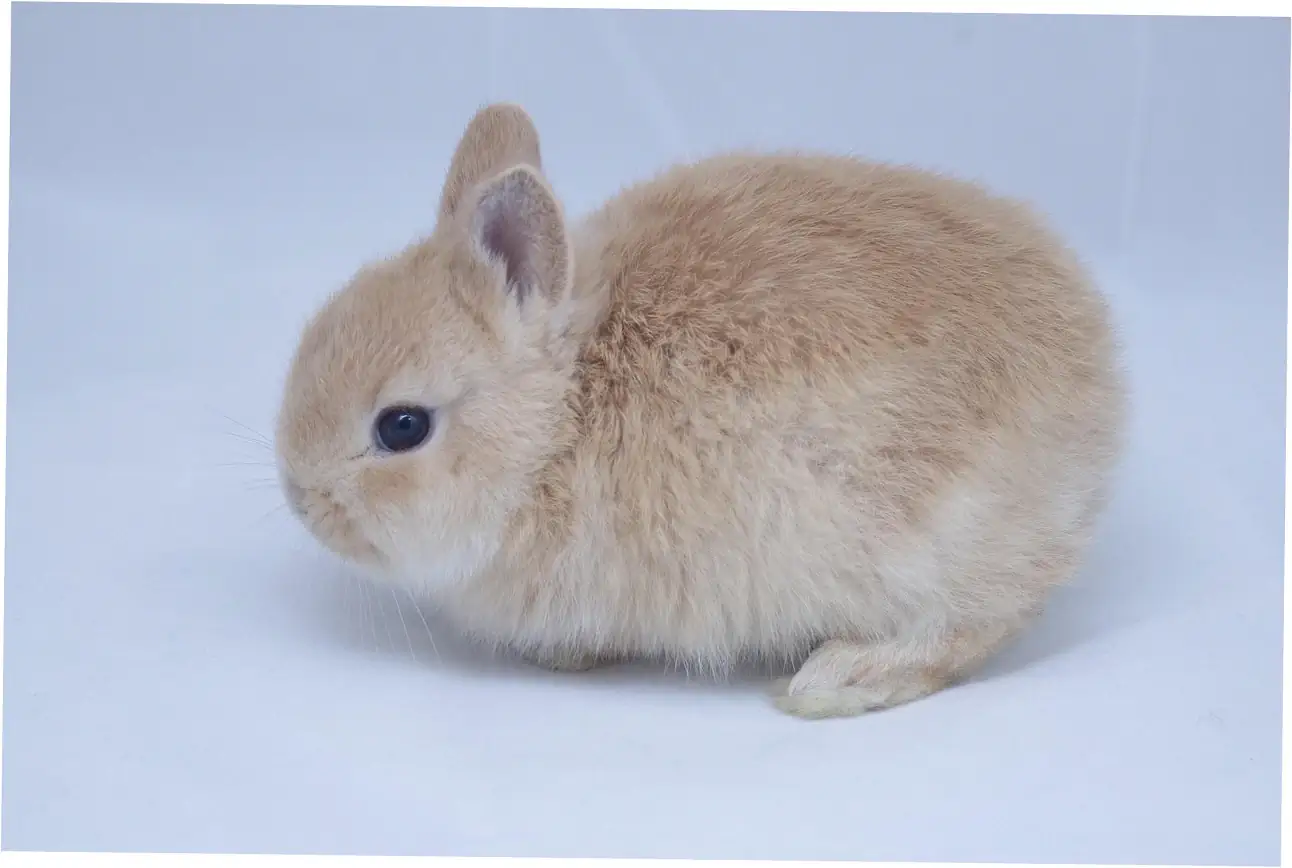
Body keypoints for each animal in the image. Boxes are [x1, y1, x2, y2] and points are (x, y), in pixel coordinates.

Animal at [275, 102, 1126, 719]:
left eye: (402, 427)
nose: (300, 500)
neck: (560, 422)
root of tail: (1099, 378)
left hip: (937, 543)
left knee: (966, 627)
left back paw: (834, 681)